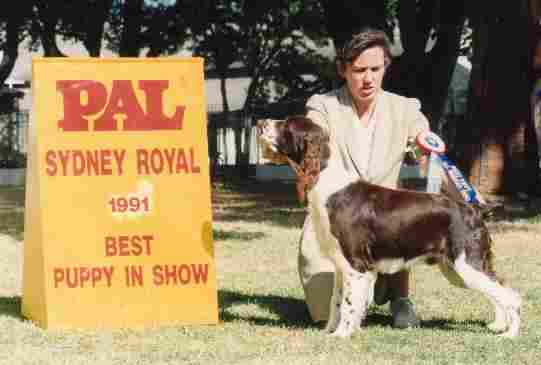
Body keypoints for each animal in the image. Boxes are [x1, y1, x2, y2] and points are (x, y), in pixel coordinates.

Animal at [260, 115, 520, 336]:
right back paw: (498, 326)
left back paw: (510, 334)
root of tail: (474, 209)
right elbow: (336, 303)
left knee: (511, 295)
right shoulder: (341, 266)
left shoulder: (356, 265)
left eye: (287, 125)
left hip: (466, 264)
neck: (328, 183)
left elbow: (348, 305)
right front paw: (329, 332)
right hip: (458, 268)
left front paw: (342, 335)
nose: (261, 122)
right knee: (498, 290)